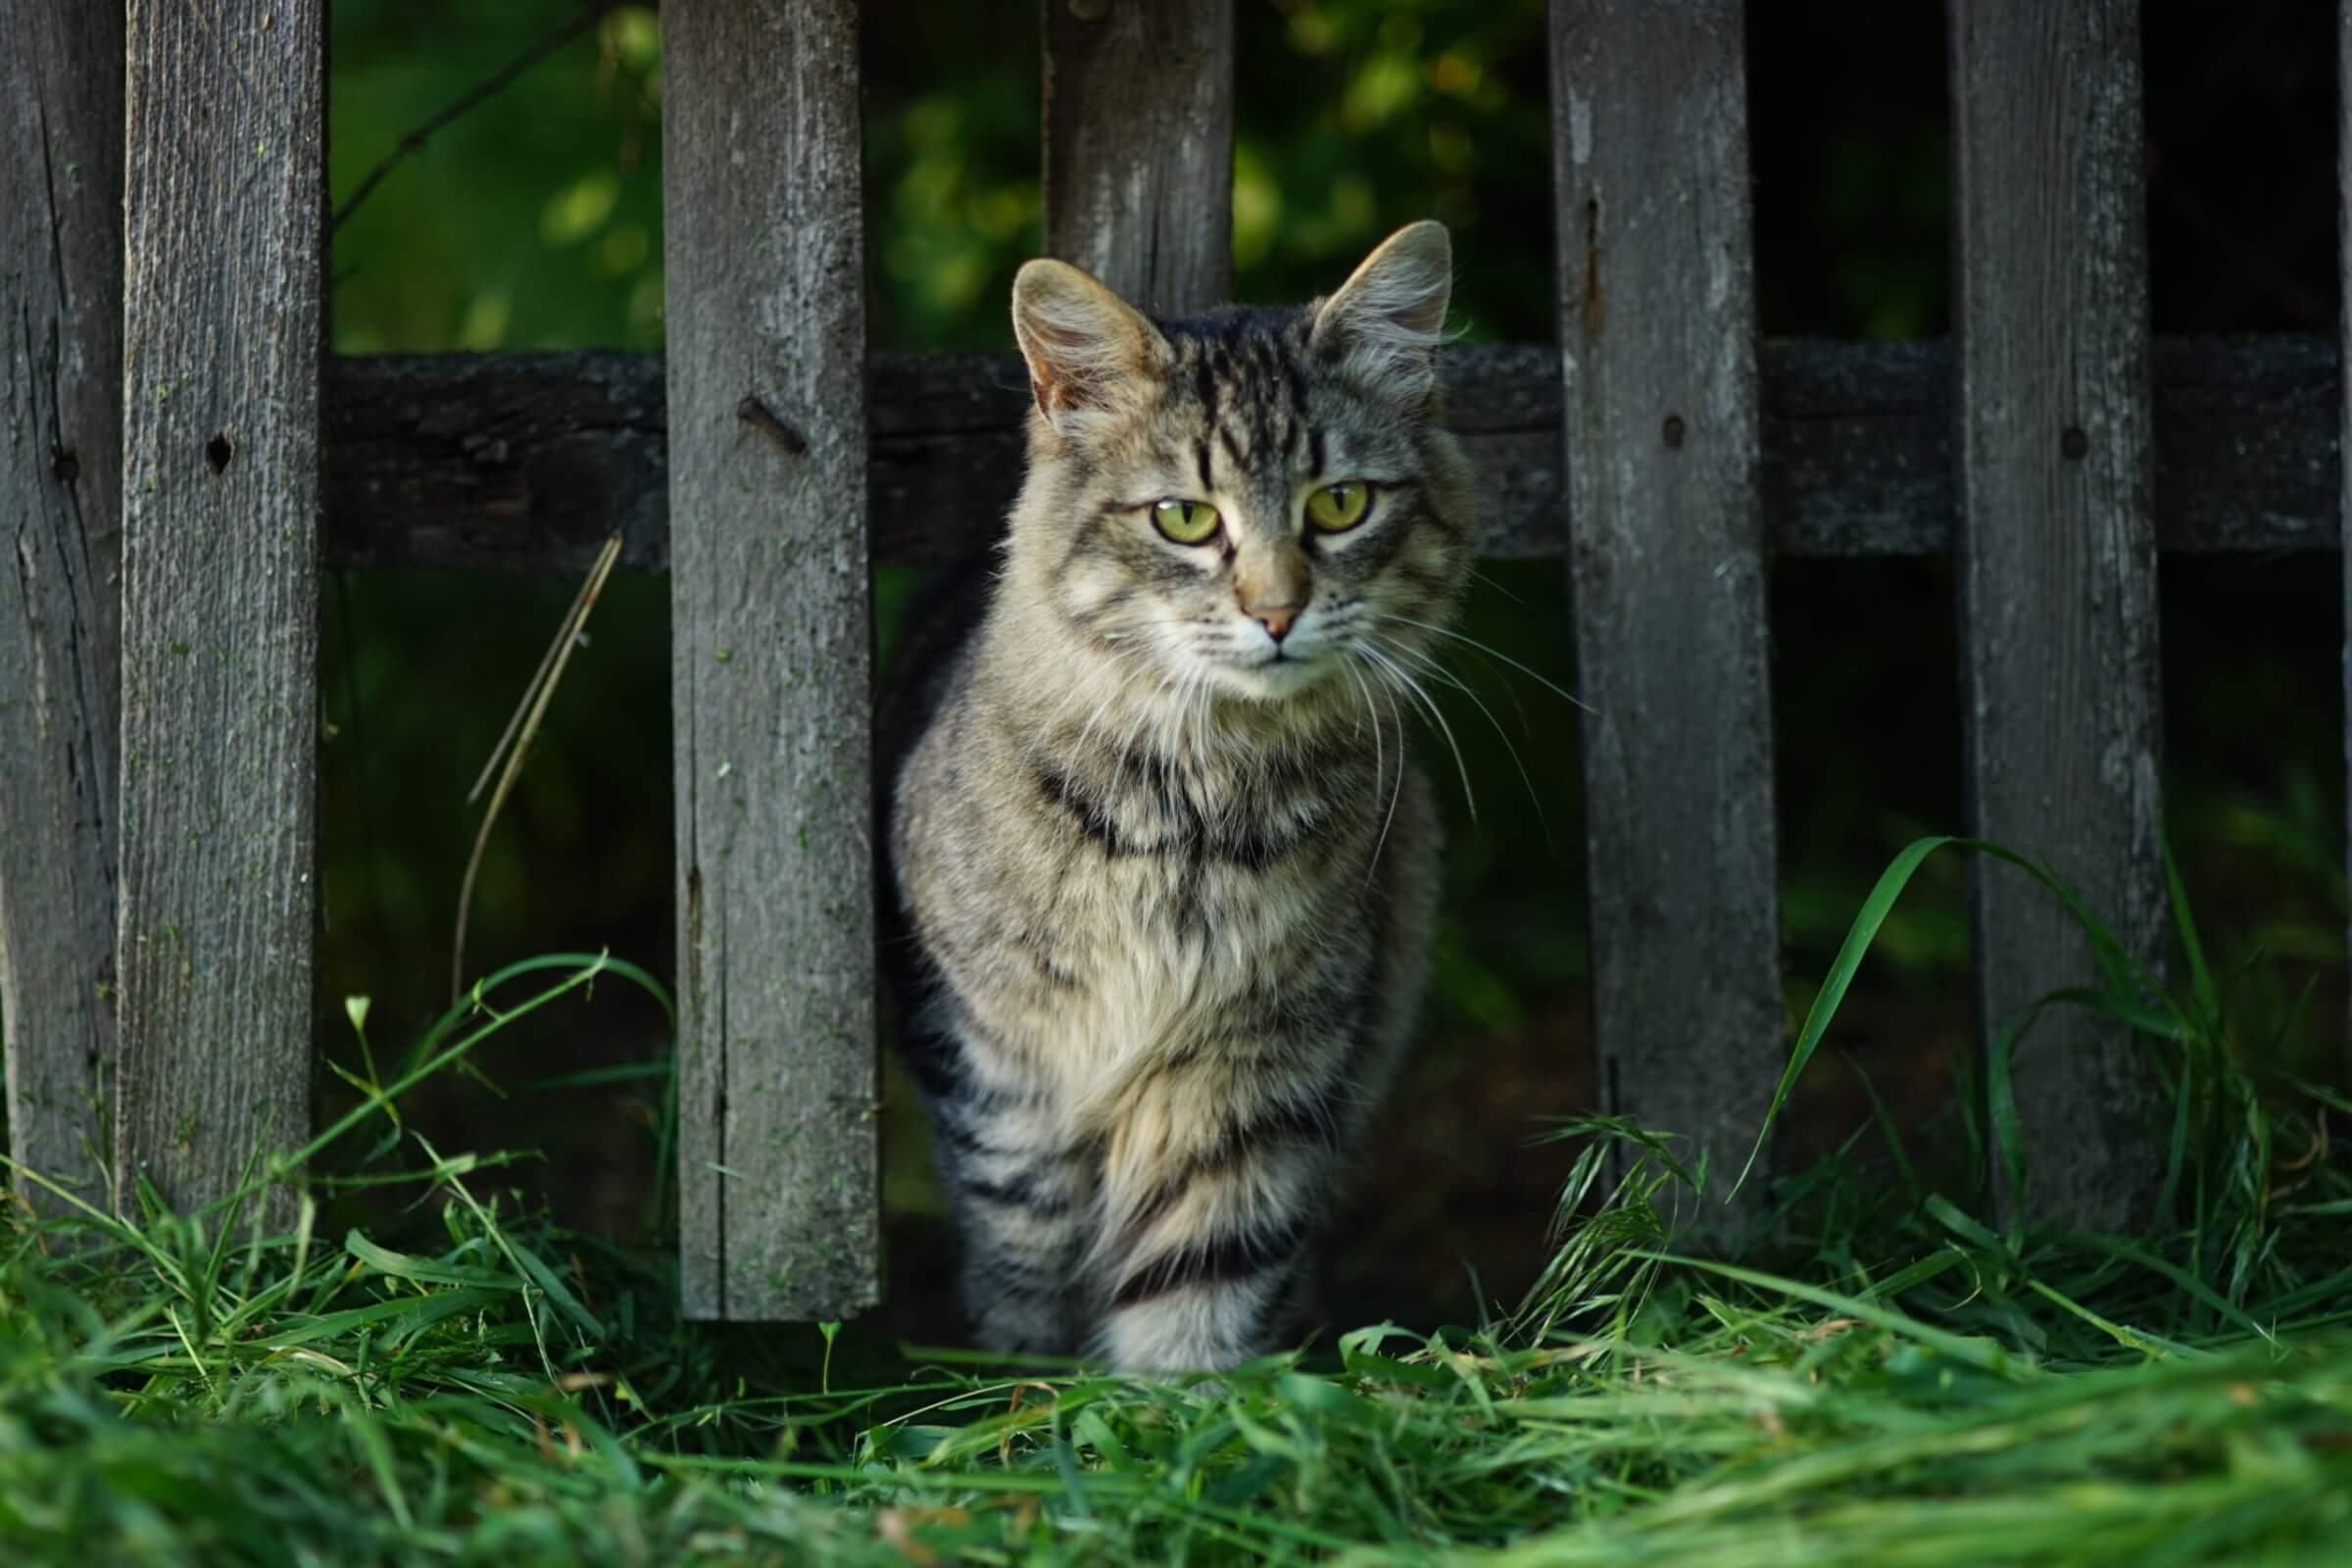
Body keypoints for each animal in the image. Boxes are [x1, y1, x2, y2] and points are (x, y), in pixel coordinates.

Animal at [884, 220, 1467, 1372]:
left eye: (1340, 504)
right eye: (1186, 518)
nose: (1278, 612)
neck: (1197, 811)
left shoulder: (1255, 1066)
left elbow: (1201, 1274)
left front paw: (1182, 1402)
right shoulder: (1004, 1079)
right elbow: (1027, 1271)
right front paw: (1030, 1392)